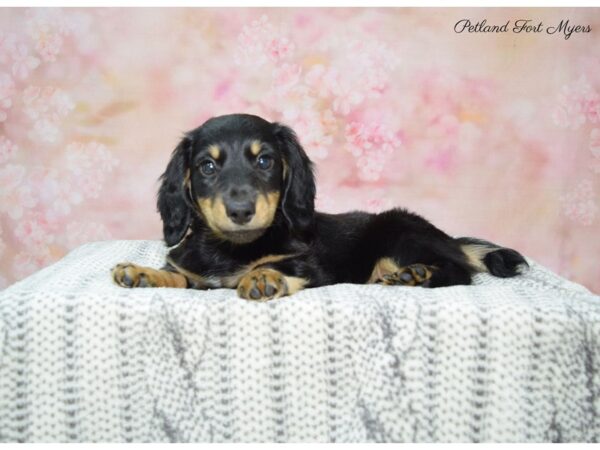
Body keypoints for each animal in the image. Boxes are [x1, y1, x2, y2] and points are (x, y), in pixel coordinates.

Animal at [110, 113, 528, 298]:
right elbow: (178, 277)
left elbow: (281, 268)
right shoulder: (195, 276)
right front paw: (143, 274)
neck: (230, 249)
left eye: (265, 161)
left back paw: (418, 275)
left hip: (401, 234)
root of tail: (448, 238)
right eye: (207, 167)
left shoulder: (313, 266)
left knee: (460, 271)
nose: (241, 212)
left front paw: (261, 278)